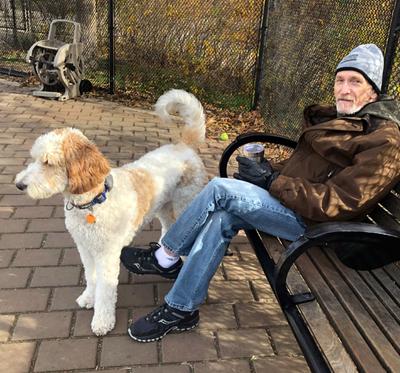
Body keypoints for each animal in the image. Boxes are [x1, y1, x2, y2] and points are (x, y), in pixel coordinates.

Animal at [15, 89, 208, 334]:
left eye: (48, 162)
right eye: (33, 158)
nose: (19, 185)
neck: (93, 203)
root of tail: (185, 146)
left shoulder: (106, 254)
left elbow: (105, 289)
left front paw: (102, 321)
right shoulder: (85, 248)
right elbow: (91, 278)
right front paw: (88, 298)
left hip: (186, 203)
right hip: (163, 206)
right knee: (168, 227)